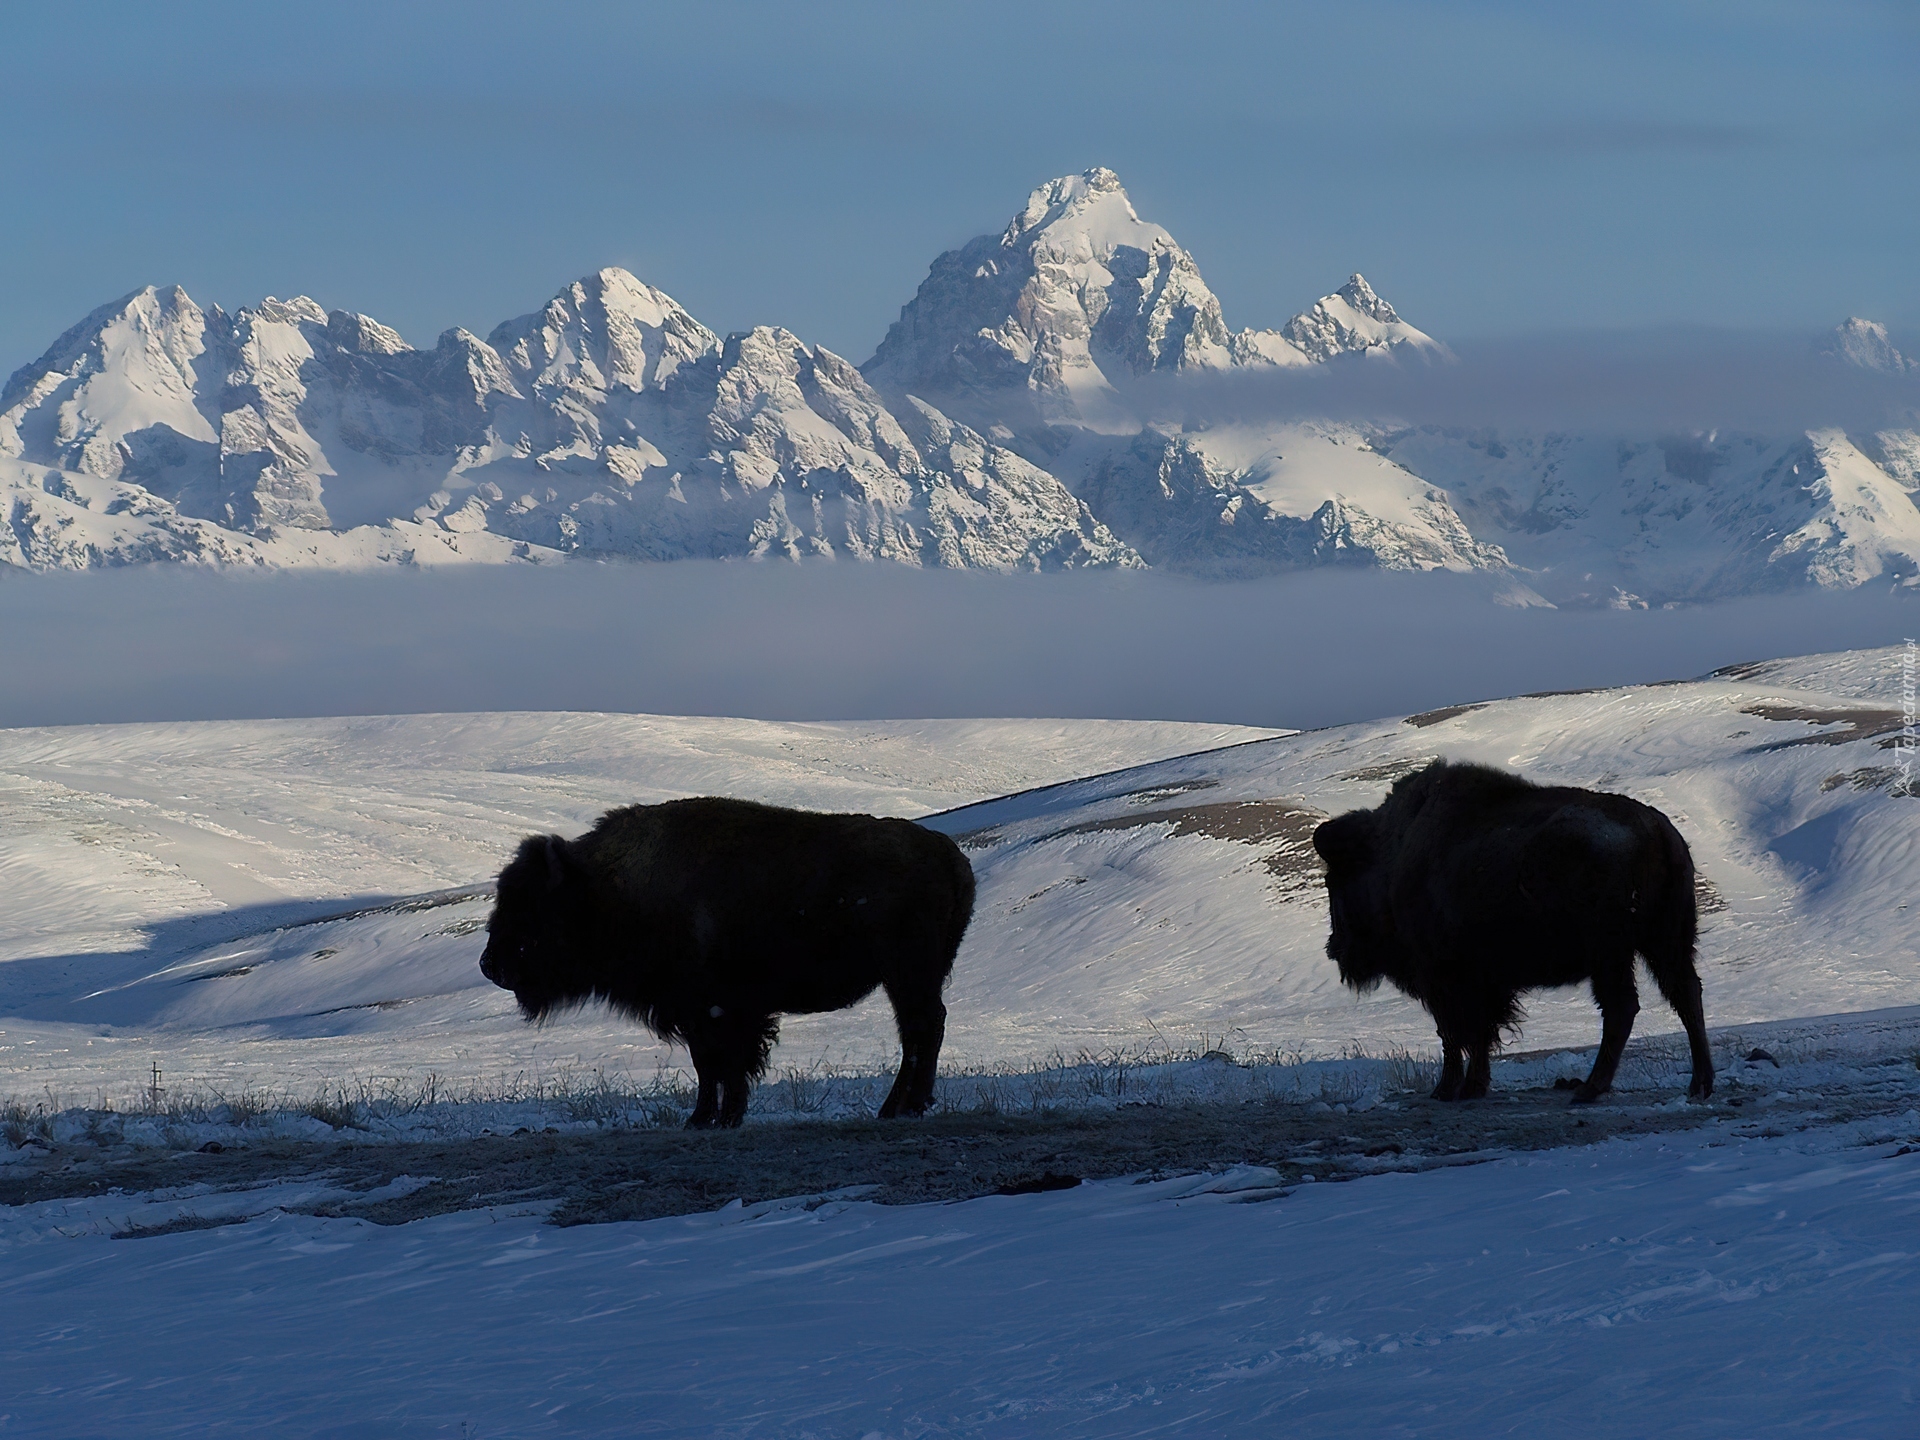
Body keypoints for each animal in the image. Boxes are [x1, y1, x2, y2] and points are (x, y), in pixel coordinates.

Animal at [480, 802, 975, 1128]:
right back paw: (902, 1108)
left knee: (921, 1029)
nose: (489, 965)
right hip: (912, 977)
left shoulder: (712, 1009)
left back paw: (899, 1109)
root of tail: (949, 855)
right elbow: (715, 1066)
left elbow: (720, 1064)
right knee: (920, 1030)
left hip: (907, 974)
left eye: (531, 906)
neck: (607, 888)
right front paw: (713, 1119)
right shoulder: (710, 1012)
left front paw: (711, 1120)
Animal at [1313, 768, 1720, 1105]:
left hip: (1612, 953)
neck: (1390, 855)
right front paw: (1471, 1087)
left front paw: (1448, 1090)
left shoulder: (1445, 978)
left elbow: (1456, 1035)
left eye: (1334, 881)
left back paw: (1590, 1089)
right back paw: (1698, 1085)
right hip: (1663, 943)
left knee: (1622, 1007)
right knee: (1684, 995)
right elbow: (1478, 1034)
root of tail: (1655, 830)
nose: (1334, 948)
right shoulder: (1484, 983)